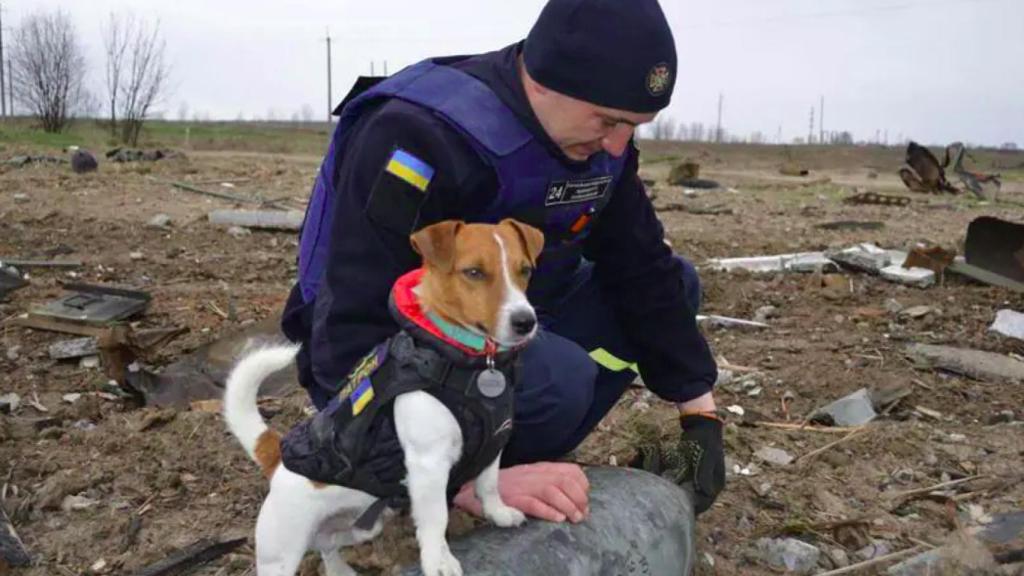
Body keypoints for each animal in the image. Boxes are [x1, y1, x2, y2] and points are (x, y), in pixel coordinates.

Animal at [223, 217, 544, 569]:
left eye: (525, 270)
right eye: (474, 272)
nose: (526, 321)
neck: (472, 363)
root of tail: (276, 459)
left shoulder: (493, 444)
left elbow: (489, 484)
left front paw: (498, 514)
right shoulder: (428, 466)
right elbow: (436, 519)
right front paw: (438, 561)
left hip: (361, 526)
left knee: (328, 547)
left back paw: (342, 572)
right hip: (282, 551)